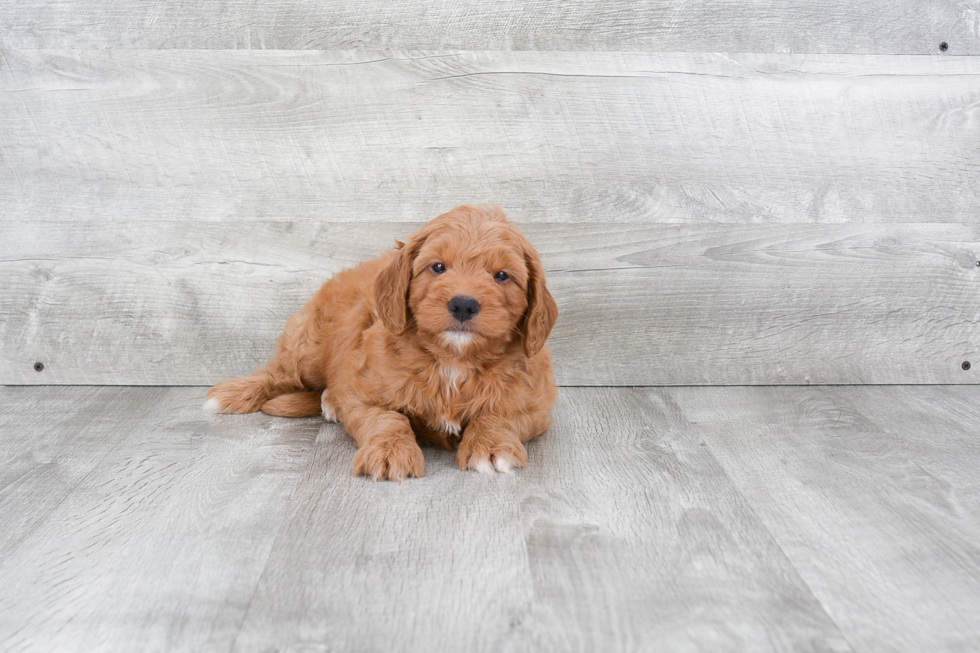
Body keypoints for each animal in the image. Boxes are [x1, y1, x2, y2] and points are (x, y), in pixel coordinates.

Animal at [205, 204, 560, 478]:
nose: (463, 304)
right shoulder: (364, 393)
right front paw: (390, 452)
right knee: (278, 371)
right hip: (309, 348)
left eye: (502, 275)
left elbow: (499, 415)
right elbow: (387, 419)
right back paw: (232, 393)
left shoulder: (536, 403)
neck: (452, 359)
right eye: (438, 267)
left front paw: (490, 446)